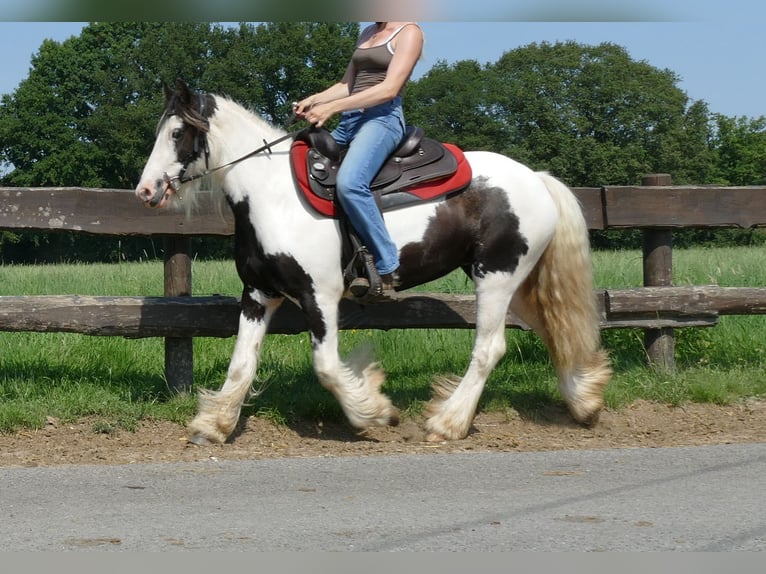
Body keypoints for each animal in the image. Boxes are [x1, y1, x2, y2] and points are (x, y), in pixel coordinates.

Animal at [132, 80, 612, 446]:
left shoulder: (320, 296)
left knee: (489, 348)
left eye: (177, 133)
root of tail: (537, 179)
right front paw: (213, 426)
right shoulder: (258, 295)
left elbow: (327, 368)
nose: (145, 191)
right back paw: (583, 403)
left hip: (495, 277)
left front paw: (374, 413)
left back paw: (448, 423)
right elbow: (241, 365)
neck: (273, 196)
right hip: (517, 281)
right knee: (554, 329)